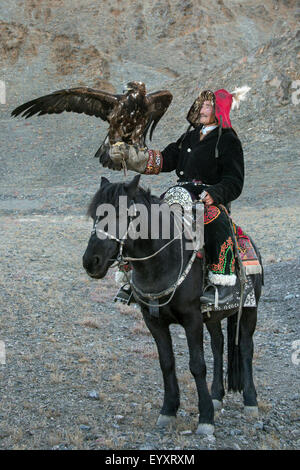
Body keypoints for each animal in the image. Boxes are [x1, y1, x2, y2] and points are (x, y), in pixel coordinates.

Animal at [82, 174, 262, 436]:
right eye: (95, 214)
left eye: (124, 214)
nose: (91, 261)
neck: (162, 261)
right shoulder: (153, 320)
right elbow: (166, 363)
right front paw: (168, 410)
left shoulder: (192, 319)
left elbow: (197, 365)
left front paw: (205, 418)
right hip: (214, 316)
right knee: (218, 346)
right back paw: (217, 395)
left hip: (249, 310)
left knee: (246, 348)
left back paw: (250, 401)